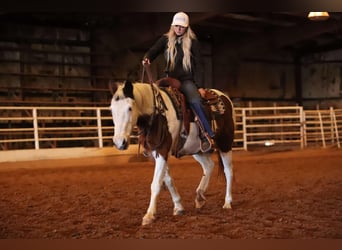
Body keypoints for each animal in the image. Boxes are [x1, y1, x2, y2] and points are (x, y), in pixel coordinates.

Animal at [109, 79, 235, 226]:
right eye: (111, 109)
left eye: (129, 108)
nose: (119, 142)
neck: (158, 114)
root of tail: (224, 97)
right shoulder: (156, 153)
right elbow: (167, 180)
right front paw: (178, 207)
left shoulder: (162, 150)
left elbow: (156, 183)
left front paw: (149, 215)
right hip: (197, 150)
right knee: (209, 166)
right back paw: (199, 196)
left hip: (225, 144)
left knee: (228, 171)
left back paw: (227, 202)